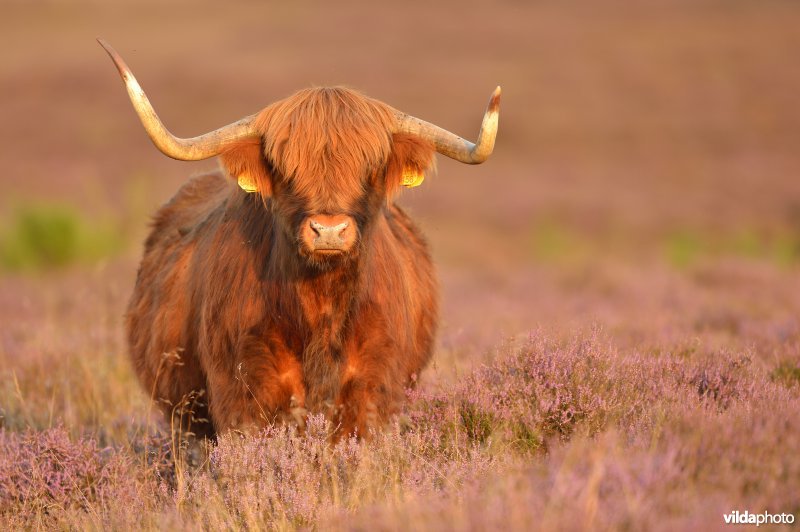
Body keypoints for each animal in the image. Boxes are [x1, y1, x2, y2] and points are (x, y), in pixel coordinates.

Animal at [100, 39, 500, 438]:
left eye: (371, 167)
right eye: (284, 169)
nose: (329, 230)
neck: (321, 309)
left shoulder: (373, 389)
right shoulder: (244, 392)